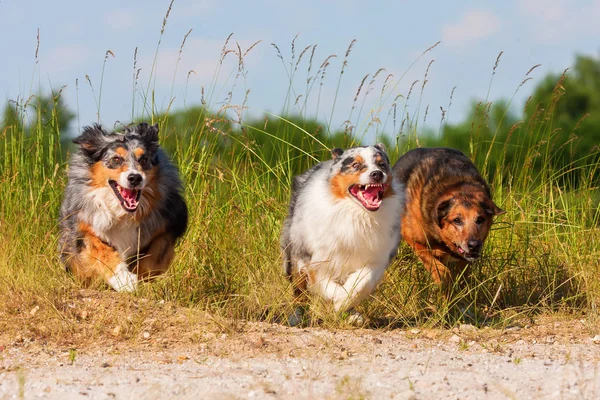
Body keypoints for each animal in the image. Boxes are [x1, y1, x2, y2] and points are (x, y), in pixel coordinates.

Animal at [59, 122, 188, 290]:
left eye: (144, 159)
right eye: (116, 159)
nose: (135, 178)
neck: (124, 213)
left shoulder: (171, 221)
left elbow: (154, 256)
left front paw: (138, 278)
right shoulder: (84, 225)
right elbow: (102, 251)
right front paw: (124, 281)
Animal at [282, 145, 404, 324]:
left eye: (381, 165)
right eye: (355, 165)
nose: (377, 174)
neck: (357, 214)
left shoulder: (377, 257)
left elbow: (362, 281)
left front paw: (344, 303)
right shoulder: (315, 256)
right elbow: (324, 284)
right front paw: (339, 298)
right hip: (293, 252)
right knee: (299, 291)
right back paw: (296, 317)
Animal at [392, 148, 504, 292]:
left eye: (480, 219)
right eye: (457, 220)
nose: (474, 245)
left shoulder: (464, 260)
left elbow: (461, 277)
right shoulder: (414, 240)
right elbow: (440, 269)